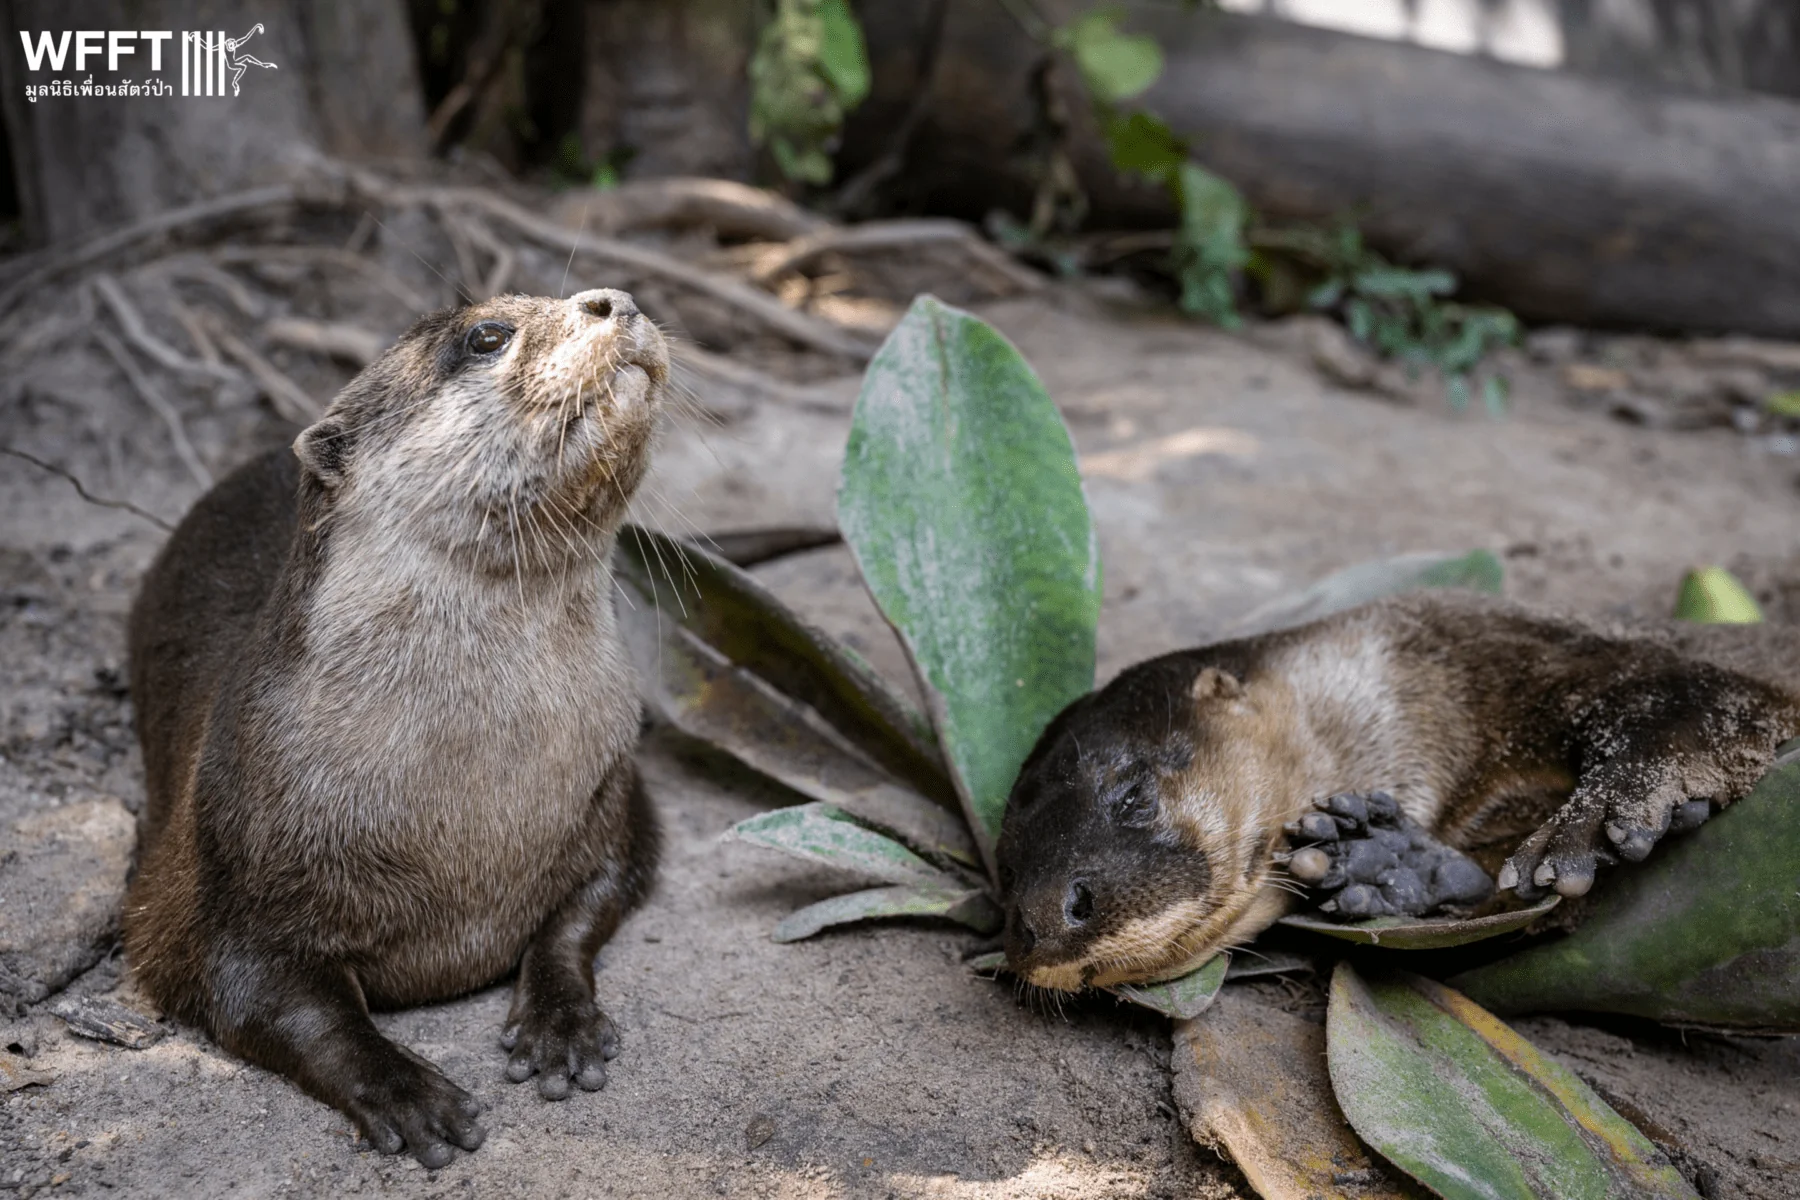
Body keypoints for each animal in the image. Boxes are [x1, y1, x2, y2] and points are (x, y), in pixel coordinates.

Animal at [124, 289, 667, 1166]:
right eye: (487, 336)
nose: (616, 299)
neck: (475, 809)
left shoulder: (617, 794)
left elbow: (583, 911)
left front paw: (561, 1021)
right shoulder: (219, 879)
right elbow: (273, 1001)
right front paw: (406, 1093)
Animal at [996, 591, 1800, 992]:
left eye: (1133, 795)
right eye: (1006, 874)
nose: (1041, 919)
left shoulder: (1539, 654)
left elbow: (1700, 694)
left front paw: (1598, 815)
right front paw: (1392, 867)